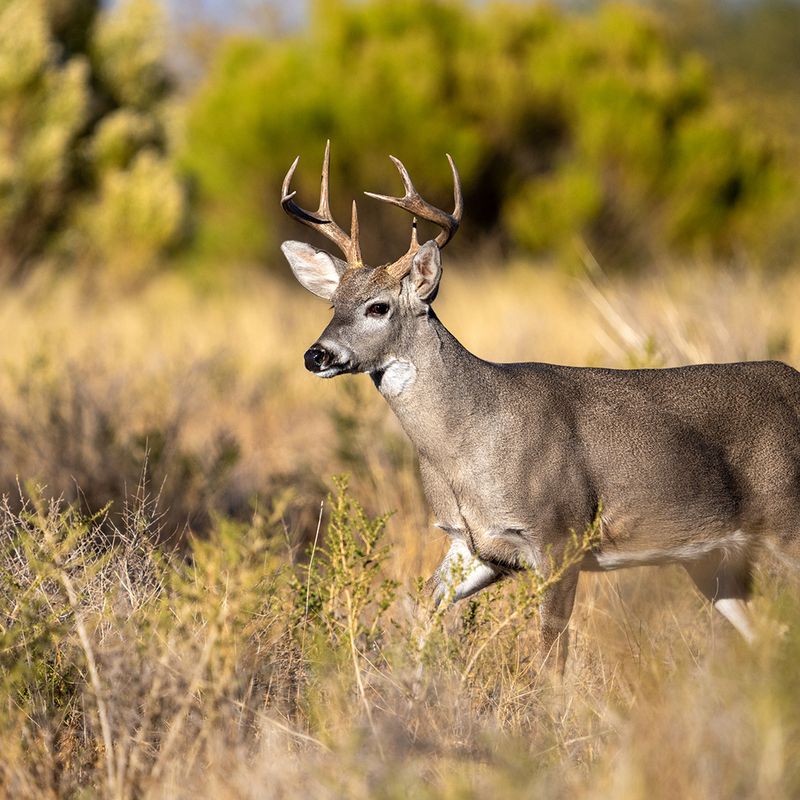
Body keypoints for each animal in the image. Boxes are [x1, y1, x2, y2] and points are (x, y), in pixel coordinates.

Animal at [280, 142, 800, 668]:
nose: (316, 355)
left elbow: (552, 656)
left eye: (378, 307)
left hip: (786, 520)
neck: (467, 447)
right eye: (333, 306)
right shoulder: (474, 545)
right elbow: (421, 614)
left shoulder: (559, 534)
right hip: (714, 558)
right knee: (769, 633)